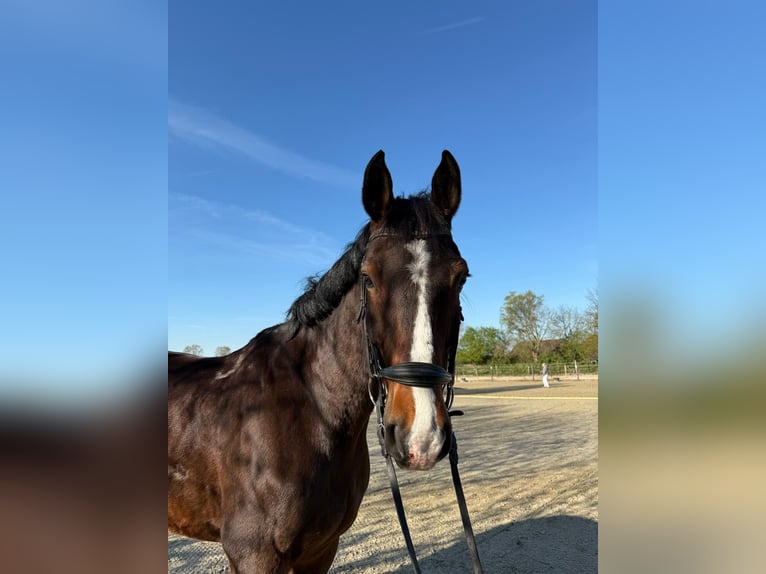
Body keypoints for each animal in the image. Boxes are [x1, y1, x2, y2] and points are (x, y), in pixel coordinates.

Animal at [168, 150, 469, 573]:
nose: (420, 437)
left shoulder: (321, 549)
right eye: (368, 277)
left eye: (461, 277)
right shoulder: (254, 555)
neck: (310, 411)